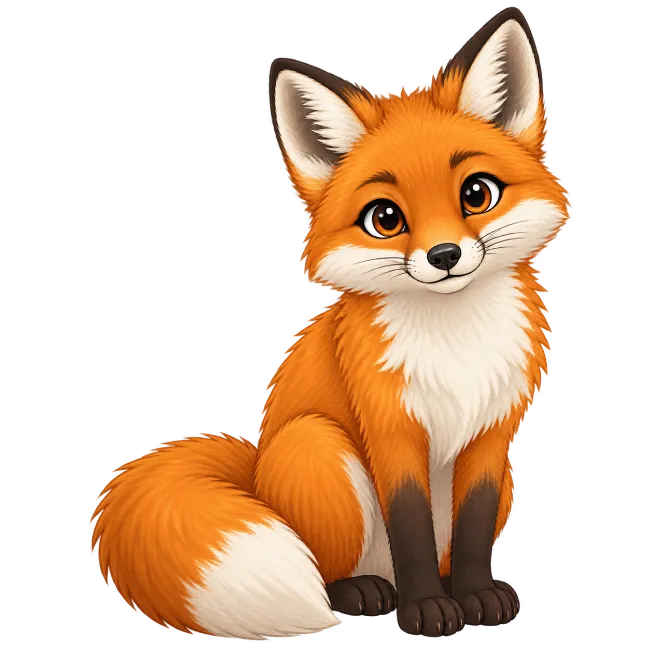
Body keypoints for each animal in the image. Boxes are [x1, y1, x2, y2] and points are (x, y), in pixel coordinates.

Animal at [89, 7, 572, 643]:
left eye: (477, 193)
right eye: (385, 218)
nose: (444, 255)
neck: (455, 342)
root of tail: (256, 472)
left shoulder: (495, 435)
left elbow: (470, 529)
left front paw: (475, 598)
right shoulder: (390, 429)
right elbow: (410, 529)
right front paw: (426, 610)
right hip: (319, 447)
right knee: (329, 569)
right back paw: (363, 594)